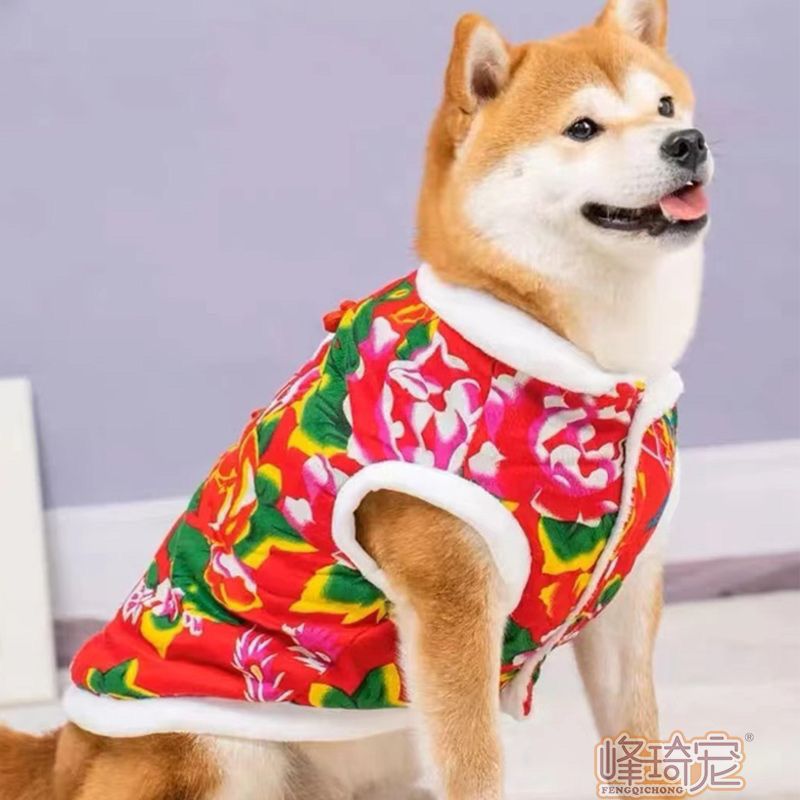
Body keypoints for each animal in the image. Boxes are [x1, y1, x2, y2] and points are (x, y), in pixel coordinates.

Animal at [0, 1, 713, 798]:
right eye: (582, 128)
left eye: (664, 106)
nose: (688, 142)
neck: (594, 367)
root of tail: (64, 752)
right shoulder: (450, 602)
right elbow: (476, 765)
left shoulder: (627, 595)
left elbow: (637, 740)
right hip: (219, 747)